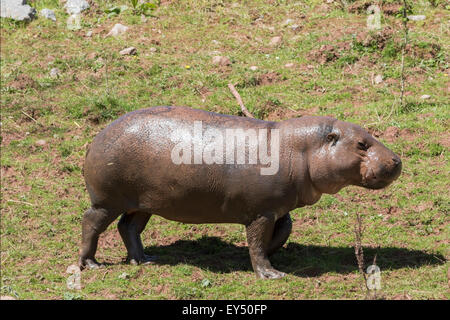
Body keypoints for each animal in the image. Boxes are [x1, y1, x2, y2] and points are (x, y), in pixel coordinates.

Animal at [79, 106, 402, 278]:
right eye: (361, 144)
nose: (397, 160)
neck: (301, 150)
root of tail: (99, 135)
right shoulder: (261, 213)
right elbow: (257, 243)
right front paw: (271, 274)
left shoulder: (277, 209)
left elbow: (283, 231)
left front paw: (269, 255)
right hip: (107, 200)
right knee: (91, 223)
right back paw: (91, 264)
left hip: (143, 202)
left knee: (128, 227)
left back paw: (144, 259)